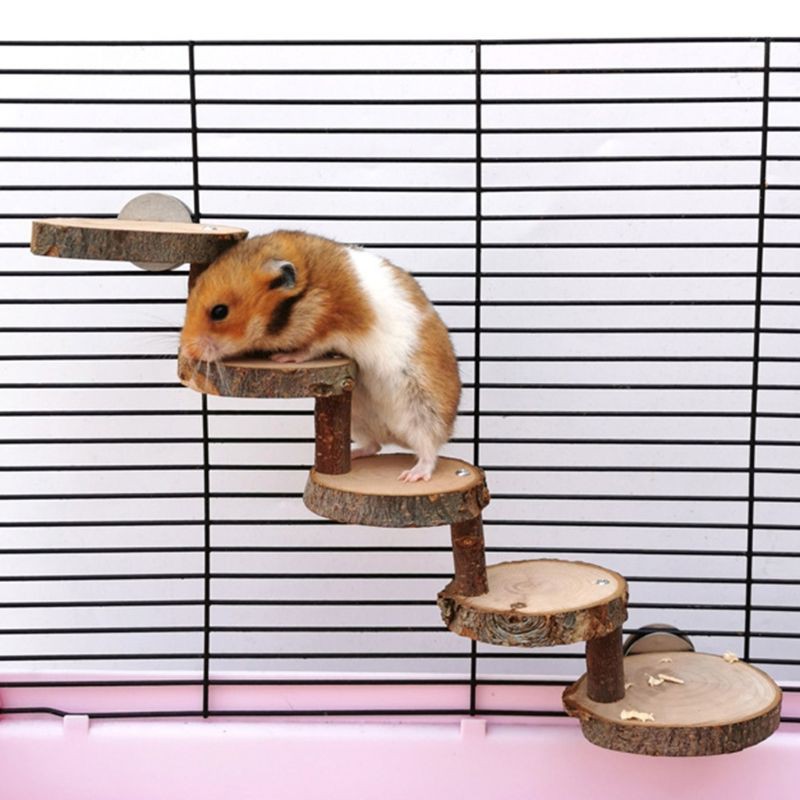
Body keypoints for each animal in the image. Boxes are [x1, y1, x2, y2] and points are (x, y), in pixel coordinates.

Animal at [179, 230, 461, 482]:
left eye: (219, 311)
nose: (188, 350)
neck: (304, 294)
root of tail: (396, 438)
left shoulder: (329, 329)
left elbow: (310, 349)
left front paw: (283, 359)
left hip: (423, 409)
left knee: (429, 450)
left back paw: (412, 476)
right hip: (358, 419)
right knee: (375, 446)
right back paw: (354, 455)